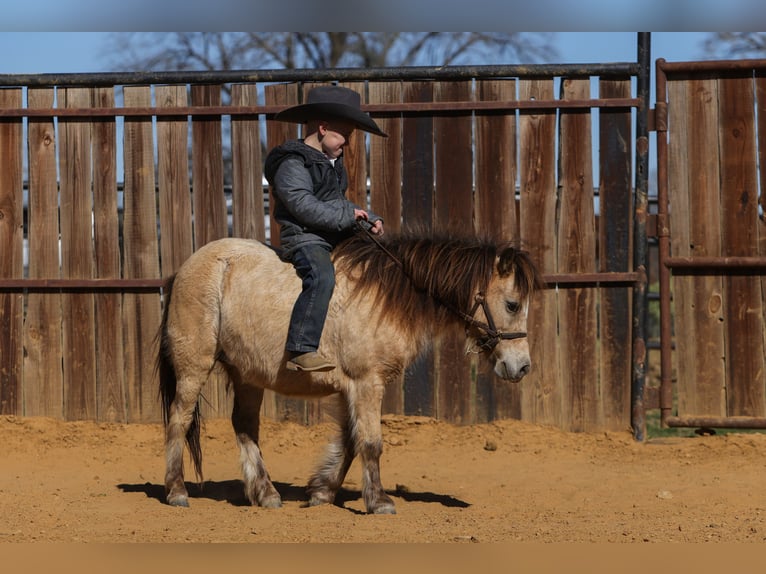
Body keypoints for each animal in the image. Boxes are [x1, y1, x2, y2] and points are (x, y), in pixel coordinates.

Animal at [157, 228, 542, 514]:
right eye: (512, 304)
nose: (521, 366)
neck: (387, 296)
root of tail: (185, 269)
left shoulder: (351, 389)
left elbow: (351, 441)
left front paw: (322, 492)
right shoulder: (366, 383)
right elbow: (370, 443)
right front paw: (379, 501)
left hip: (247, 375)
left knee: (245, 425)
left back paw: (265, 494)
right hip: (194, 366)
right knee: (179, 419)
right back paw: (176, 491)